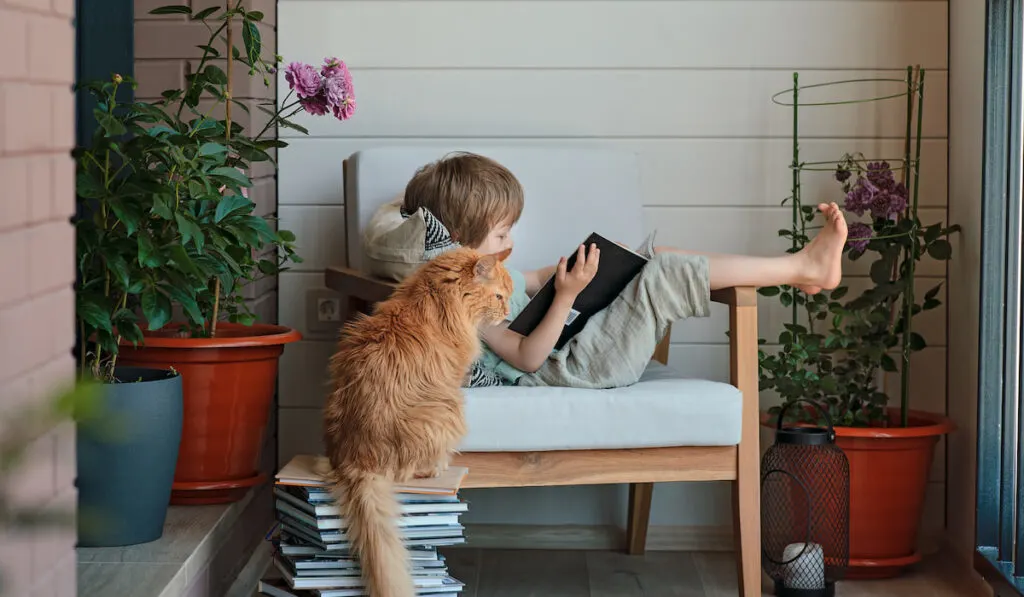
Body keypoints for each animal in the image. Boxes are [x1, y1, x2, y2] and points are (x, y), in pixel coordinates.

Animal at [321, 246, 512, 597]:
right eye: (498, 296)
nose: (506, 313)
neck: (436, 294)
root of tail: (356, 459)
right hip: (449, 410)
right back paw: (438, 466)